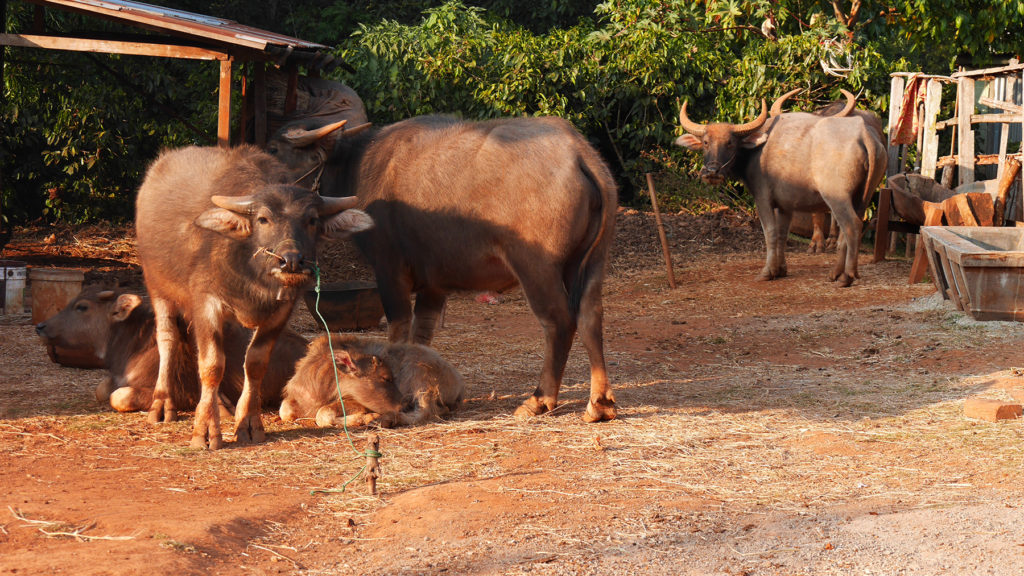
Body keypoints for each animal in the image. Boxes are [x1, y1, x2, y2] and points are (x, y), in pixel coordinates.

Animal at [35, 282, 303, 412]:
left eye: (82, 306)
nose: (40, 326)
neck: (135, 343)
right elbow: (102, 389)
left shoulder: (179, 393)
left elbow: (119, 396)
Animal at [134, 144, 374, 448]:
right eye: (263, 219)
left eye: (311, 220)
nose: (291, 261)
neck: (250, 270)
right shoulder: (207, 302)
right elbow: (212, 364)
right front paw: (205, 431)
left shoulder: (280, 311)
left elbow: (255, 363)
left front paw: (248, 422)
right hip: (158, 287)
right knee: (168, 338)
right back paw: (163, 404)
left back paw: (221, 406)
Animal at [284, 332, 468, 426]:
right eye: (386, 378)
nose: (405, 404)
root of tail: (458, 383)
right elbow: (284, 410)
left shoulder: (356, 401)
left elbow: (323, 414)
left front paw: (367, 418)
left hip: (420, 380)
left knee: (426, 411)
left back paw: (387, 419)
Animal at [671, 89, 888, 284]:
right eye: (706, 142)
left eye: (730, 143)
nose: (712, 171)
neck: (757, 150)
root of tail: (865, 135)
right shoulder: (786, 205)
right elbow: (783, 234)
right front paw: (781, 269)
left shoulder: (763, 199)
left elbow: (770, 233)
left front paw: (767, 272)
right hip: (863, 197)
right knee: (849, 229)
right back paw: (836, 273)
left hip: (837, 197)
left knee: (852, 226)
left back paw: (846, 276)